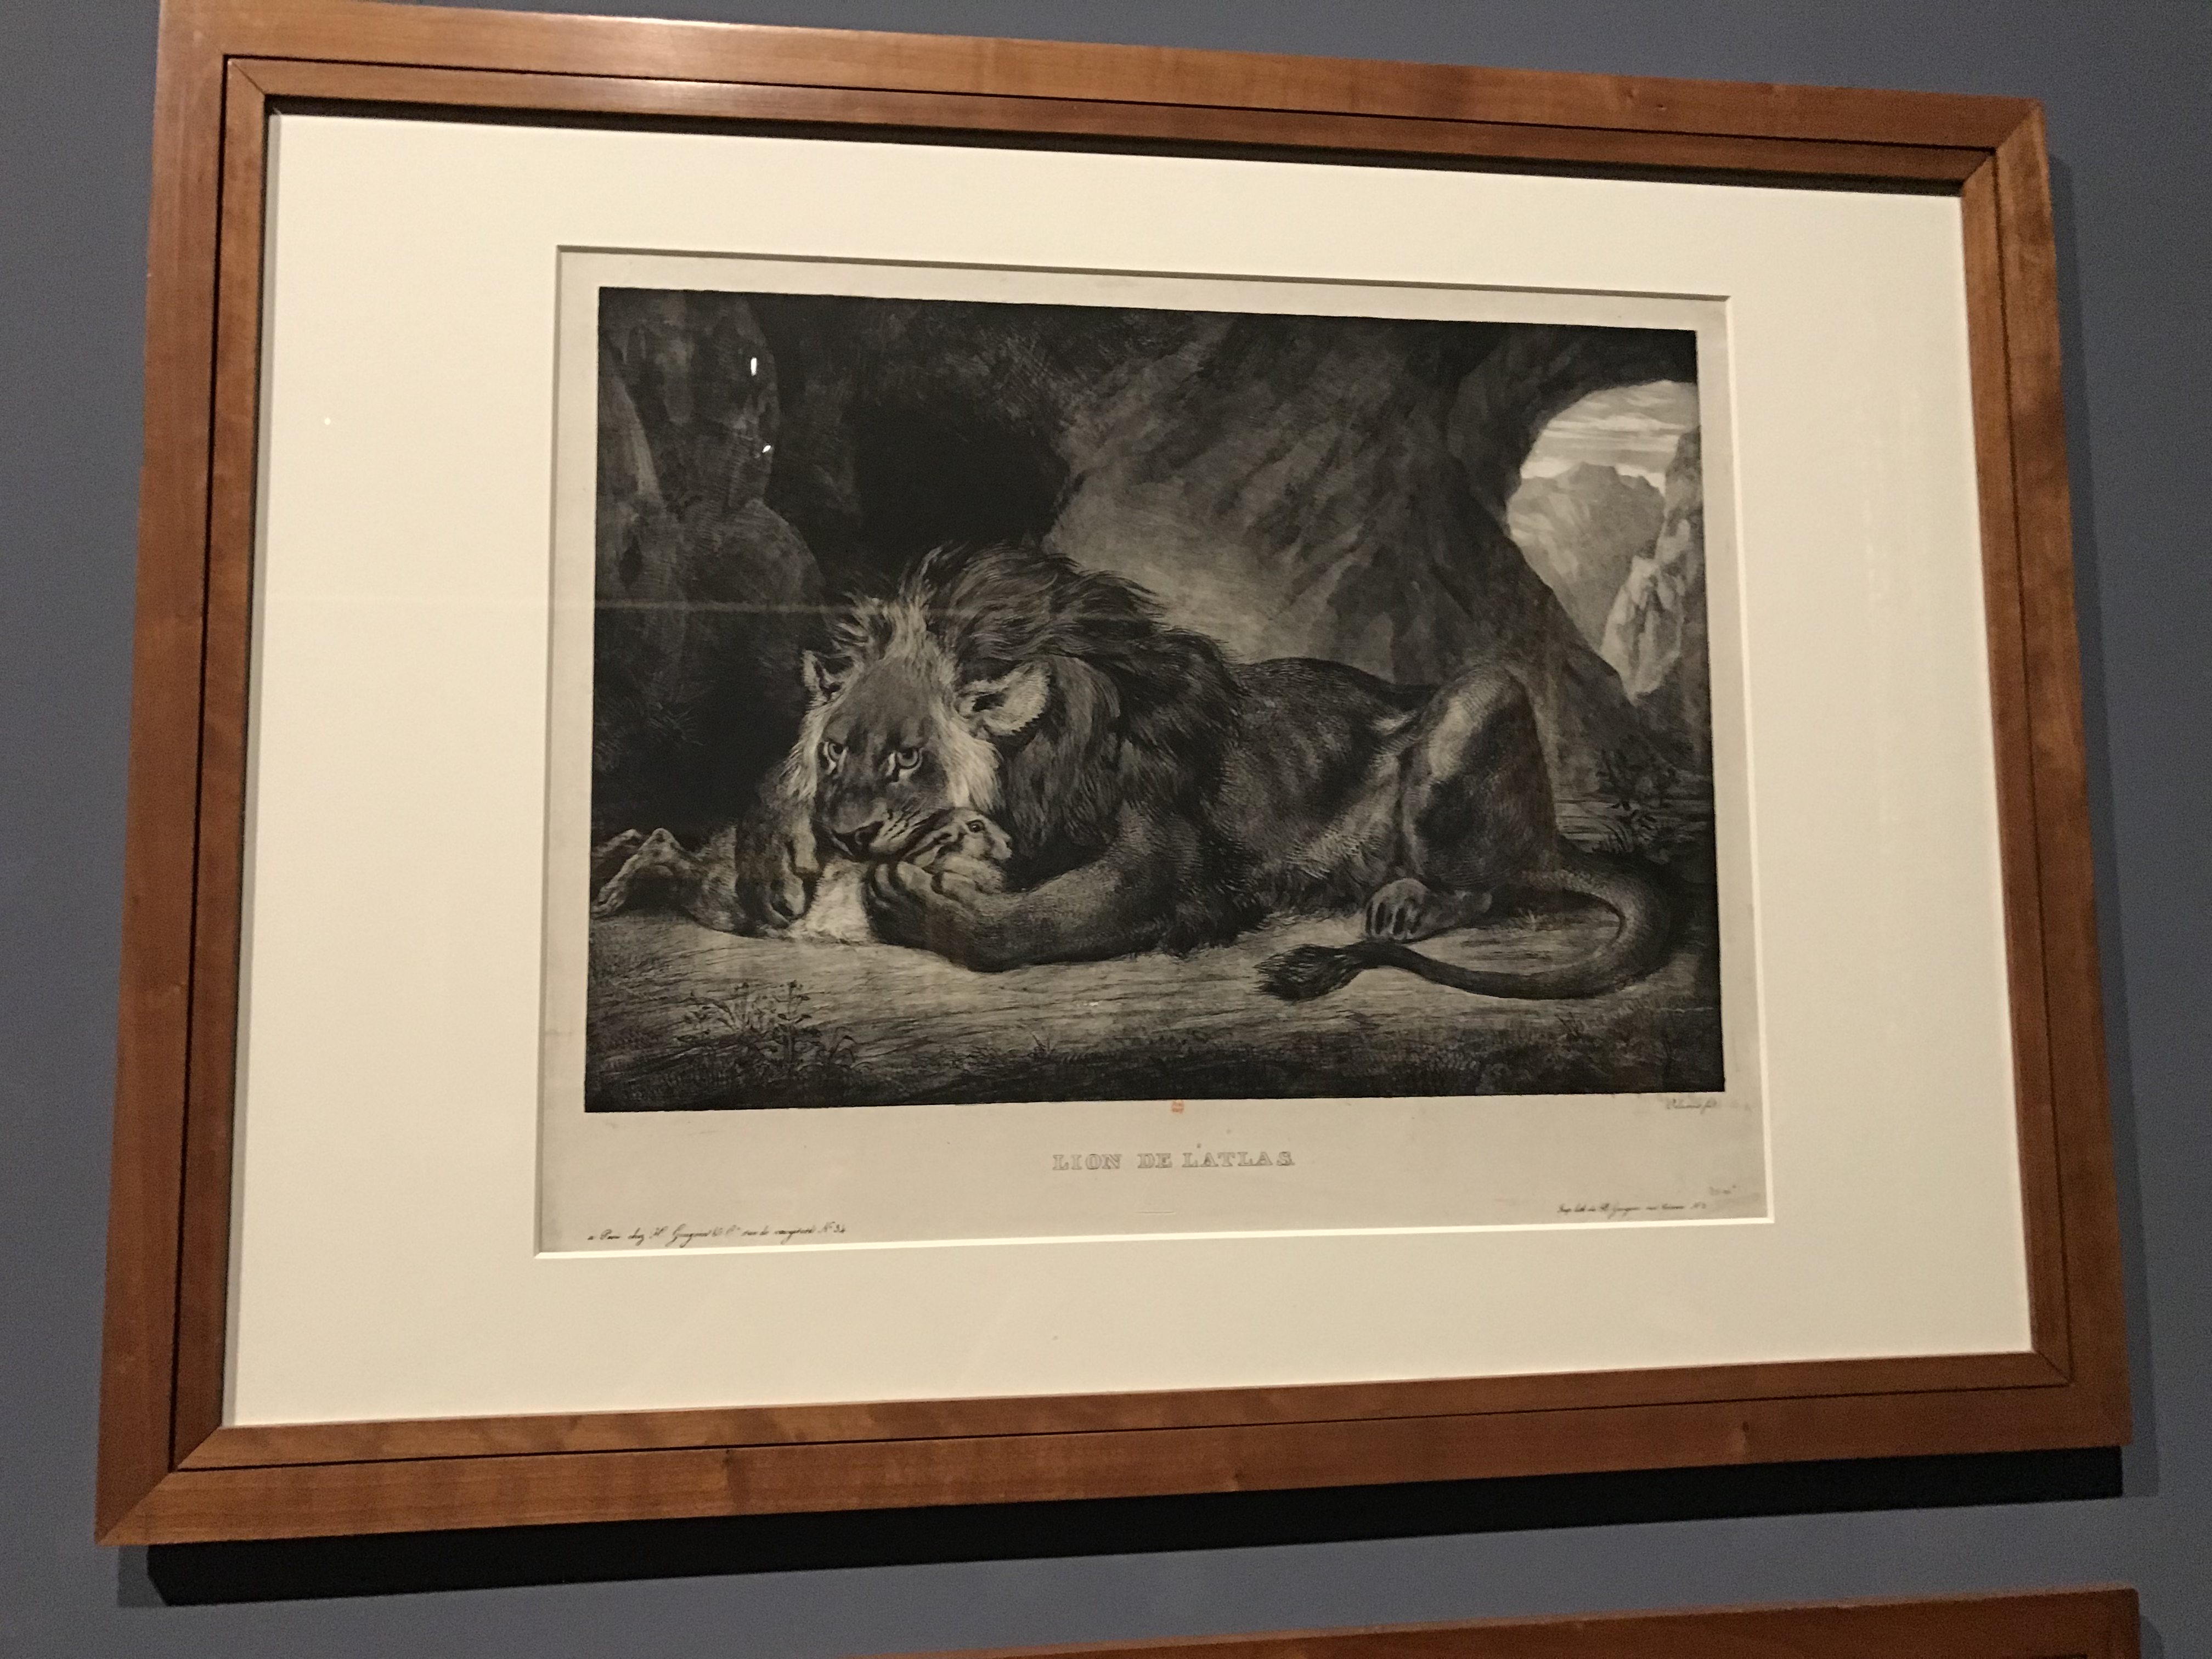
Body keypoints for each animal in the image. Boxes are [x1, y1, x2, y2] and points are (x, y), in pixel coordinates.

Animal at [594, 541, 1669, 999]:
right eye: (834, 752)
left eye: (908, 757)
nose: (850, 832)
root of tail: (1551, 831)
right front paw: (755, 846)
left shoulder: (1165, 856)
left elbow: (1037, 923)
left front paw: (929, 907)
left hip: (1476, 701)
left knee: (1493, 885)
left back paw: (1407, 901)